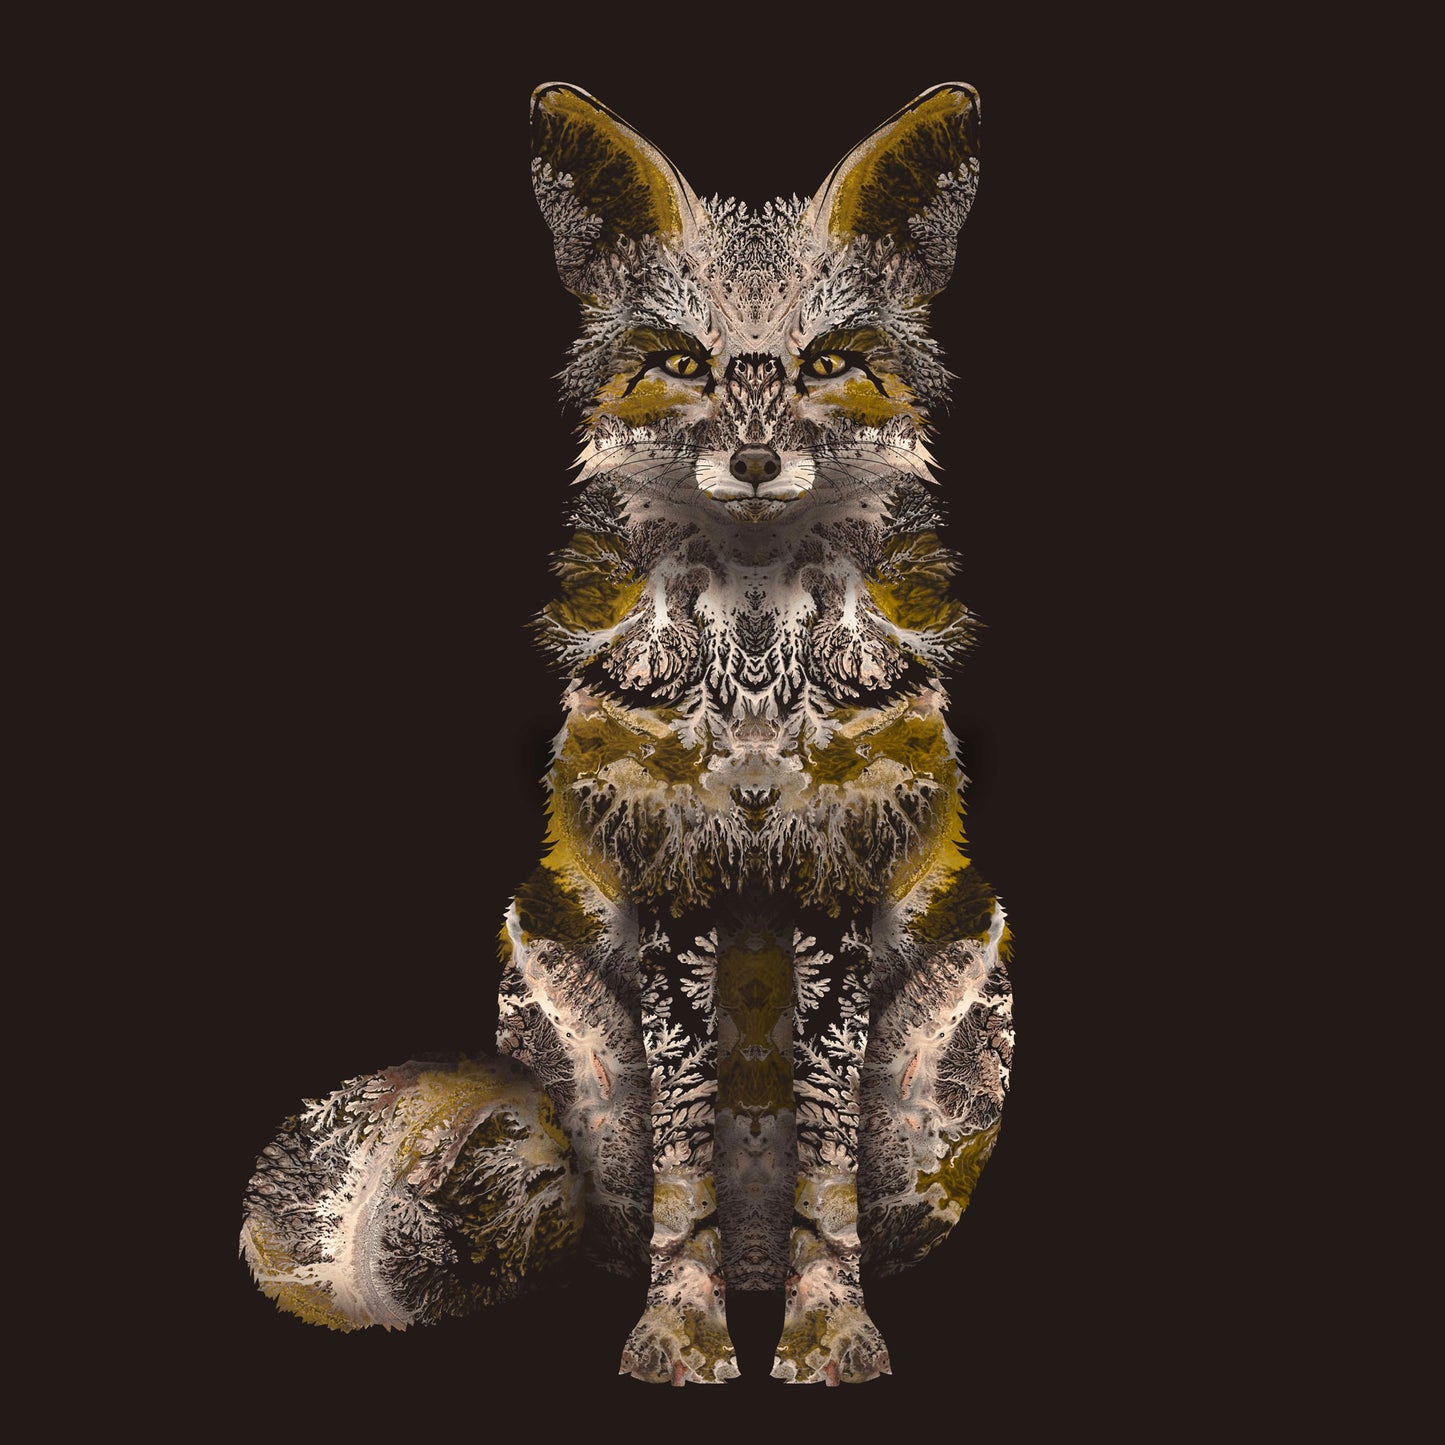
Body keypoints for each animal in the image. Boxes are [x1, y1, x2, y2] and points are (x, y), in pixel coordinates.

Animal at [241, 80, 1012, 1387]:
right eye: (680, 365)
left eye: (826, 364)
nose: (752, 461)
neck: (752, 673)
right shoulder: (671, 895)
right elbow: (685, 1156)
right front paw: (680, 1330)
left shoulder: (835, 894)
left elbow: (821, 1166)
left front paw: (826, 1329)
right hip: (558, 1005)